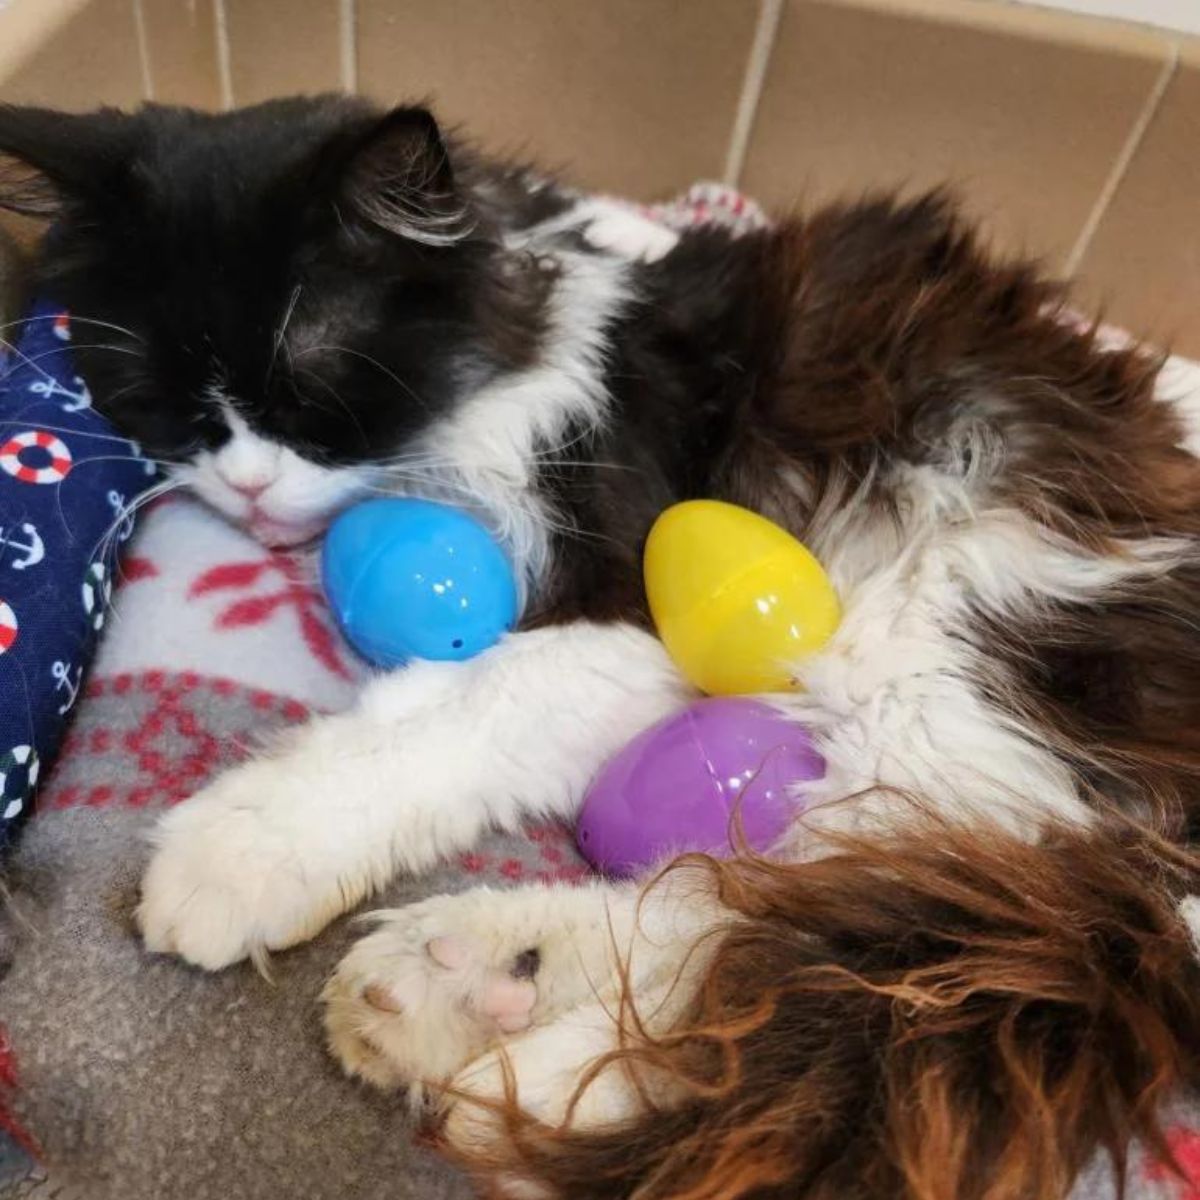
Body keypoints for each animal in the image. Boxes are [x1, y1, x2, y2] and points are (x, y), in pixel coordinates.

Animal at [2, 96, 1200, 1200]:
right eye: (161, 406)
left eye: (314, 394)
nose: (247, 488)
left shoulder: (633, 600)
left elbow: (441, 717)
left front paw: (232, 851)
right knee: (795, 909)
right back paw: (472, 994)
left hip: (946, 628)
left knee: (859, 932)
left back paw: (547, 1072)